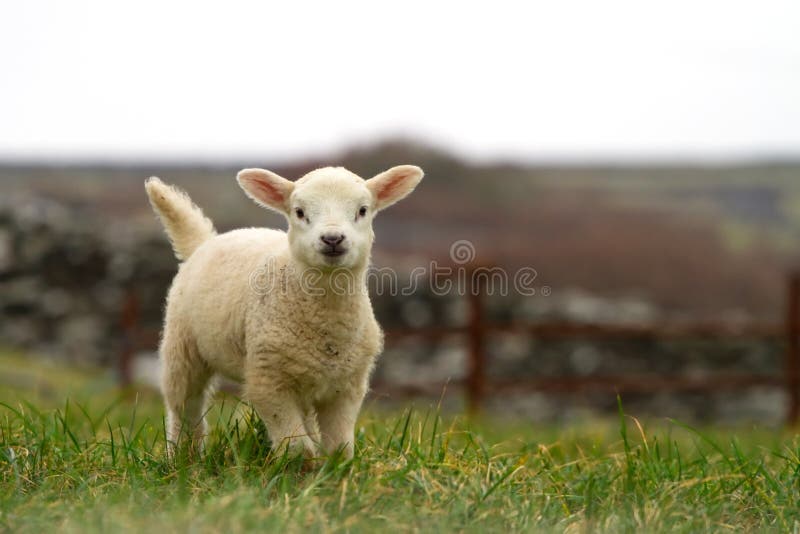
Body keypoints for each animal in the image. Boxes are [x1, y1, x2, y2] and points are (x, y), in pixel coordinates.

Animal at [142, 166, 424, 460]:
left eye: (362, 210)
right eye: (299, 212)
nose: (332, 239)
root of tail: (206, 242)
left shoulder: (347, 385)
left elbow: (339, 446)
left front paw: (333, 468)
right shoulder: (268, 379)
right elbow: (297, 447)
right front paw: (300, 466)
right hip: (182, 345)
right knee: (184, 404)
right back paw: (183, 457)